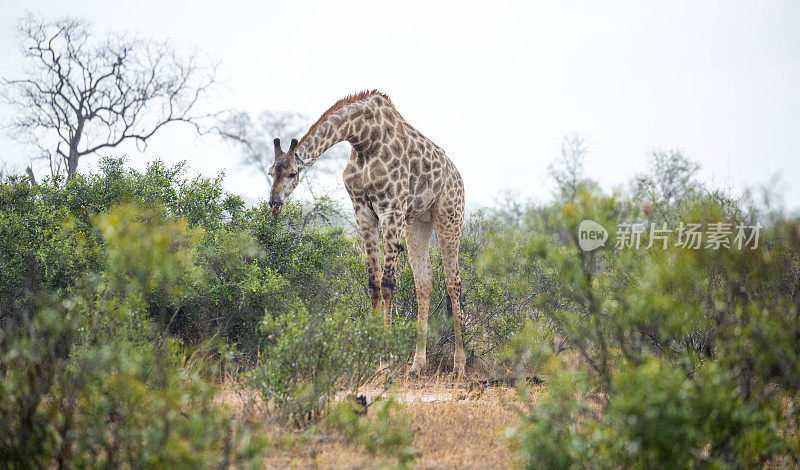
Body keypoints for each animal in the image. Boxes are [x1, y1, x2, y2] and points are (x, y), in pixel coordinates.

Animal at [268, 89, 468, 378]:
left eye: (293, 173)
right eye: (270, 172)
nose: (273, 203)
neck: (362, 139)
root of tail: (457, 176)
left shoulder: (391, 210)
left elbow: (388, 285)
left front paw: (386, 362)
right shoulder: (362, 212)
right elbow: (373, 284)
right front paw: (372, 355)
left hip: (449, 217)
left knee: (453, 282)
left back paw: (459, 365)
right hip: (418, 223)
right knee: (425, 281)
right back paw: (417, 366)